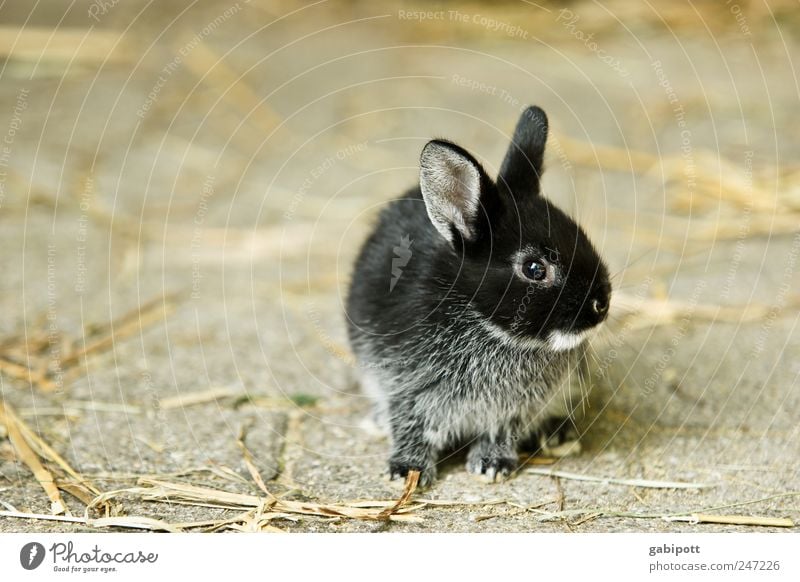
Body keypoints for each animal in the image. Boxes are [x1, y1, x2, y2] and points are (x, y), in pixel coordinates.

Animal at [346, 106, 612, 488]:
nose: (601, 304)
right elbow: (410, 424)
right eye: (534, 269)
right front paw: (407, 469)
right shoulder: (403, 383)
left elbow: (500, 431)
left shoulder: (516, 408)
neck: (484, 325)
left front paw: (491, 464)